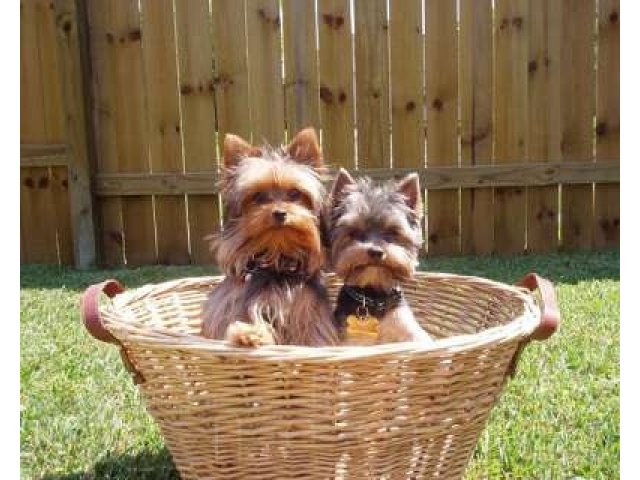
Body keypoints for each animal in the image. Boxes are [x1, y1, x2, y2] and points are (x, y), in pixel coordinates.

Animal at [200, 127, 340, 348]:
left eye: (295, 193)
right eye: (258, 196)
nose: (280, 213)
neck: (277, 258)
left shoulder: (308, 309)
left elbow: (313, 333)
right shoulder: (237, 304)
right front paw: (248, 334)